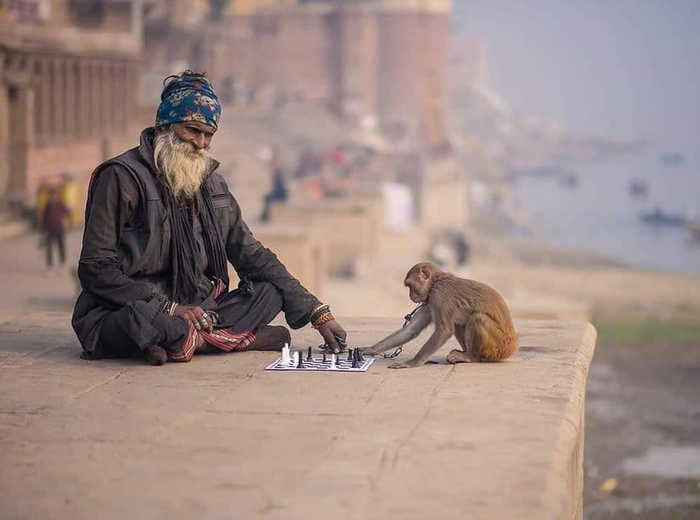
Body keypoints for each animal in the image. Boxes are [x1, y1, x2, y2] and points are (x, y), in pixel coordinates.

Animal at [360, 262, 520, 368]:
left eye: (410, 286)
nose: (410, 296)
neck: (436, 282)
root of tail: (513, 346)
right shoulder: (429, 302)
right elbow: (411, 331)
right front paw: (370, 349)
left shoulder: (439, 296)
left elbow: (444, 330)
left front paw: (412, 363)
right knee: (460, 322)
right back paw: (463, 353)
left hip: (499, 346)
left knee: (477, 318)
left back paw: (471, 357)